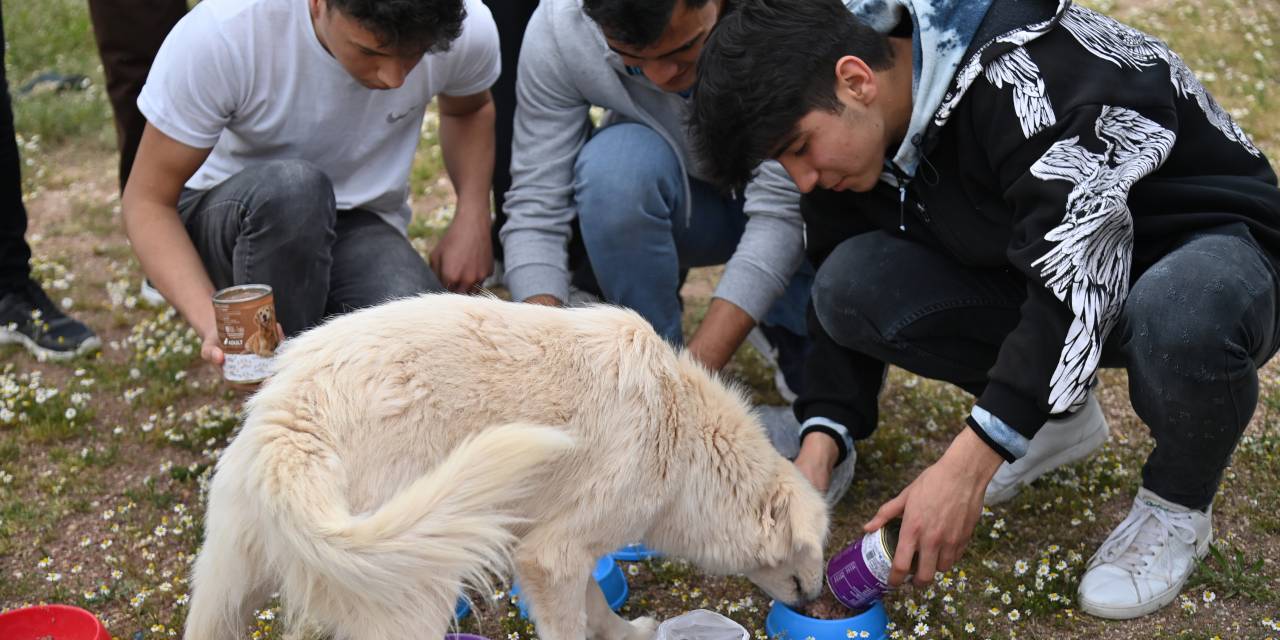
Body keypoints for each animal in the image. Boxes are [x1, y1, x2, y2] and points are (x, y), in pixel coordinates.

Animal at [183, 293, 829, 640]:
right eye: (812, 550)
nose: (819, 606)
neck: (682, 432)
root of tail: (294, 420)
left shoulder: (558, 551)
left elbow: (600, 612)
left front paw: (631, 633)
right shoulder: (555, 556)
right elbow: (572, 627)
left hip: (224, 586)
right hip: (417, 584)